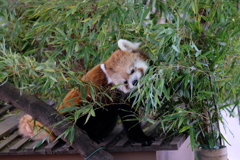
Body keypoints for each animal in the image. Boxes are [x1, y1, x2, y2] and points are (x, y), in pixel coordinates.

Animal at [18, 38, 154, 145]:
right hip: (83, 110)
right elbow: (129, 116)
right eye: (124, 82)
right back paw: (93, 136)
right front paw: (140, 138)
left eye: (132, 70)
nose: (134, 82)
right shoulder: (120, 96)